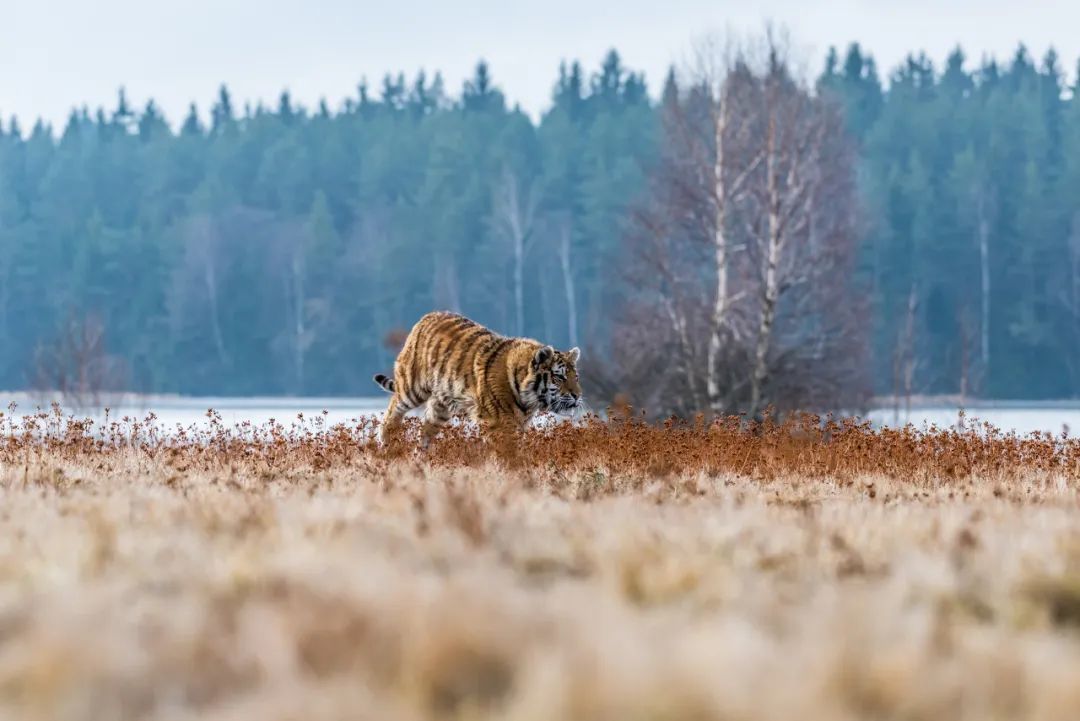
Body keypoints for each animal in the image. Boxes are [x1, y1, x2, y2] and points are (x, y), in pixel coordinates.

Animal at [375, 310, 587, 444]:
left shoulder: (518, 425)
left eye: (576, 377)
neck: (529, 399)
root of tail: (426, 317)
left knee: (425, 431)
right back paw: (388, 444)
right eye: (559, 377)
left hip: (440, 407)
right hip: (412, 387)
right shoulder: (500, 425)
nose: (578, 395)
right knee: (392, 410)